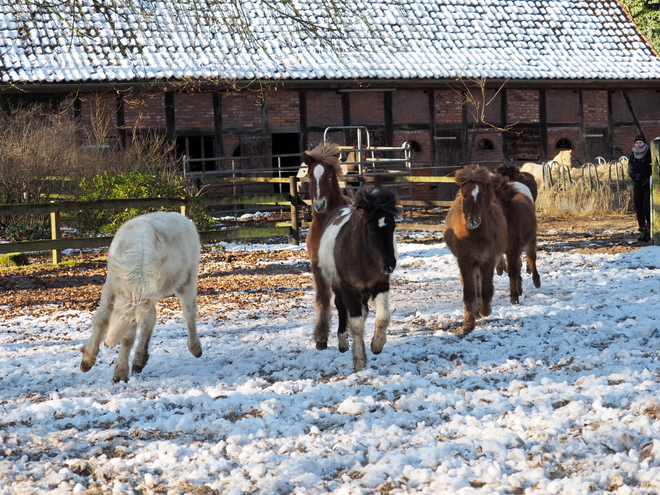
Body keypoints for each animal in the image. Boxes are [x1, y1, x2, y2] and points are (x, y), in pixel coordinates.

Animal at [79, 211, 201, 382]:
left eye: (132, 321)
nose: (108, 344)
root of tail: (180, 216)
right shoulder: (111, 287)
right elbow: (101, 319)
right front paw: (87, 361)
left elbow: (128, 339)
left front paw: (120, 374)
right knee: (151, 320)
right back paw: (139, 361)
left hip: (187, 282)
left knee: (189, 314)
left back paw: (194, 348)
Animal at [314, 187, 400, 372]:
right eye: (371, 229)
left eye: (393, 226)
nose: (390, 265)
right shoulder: (349, 289)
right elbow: (356, 324)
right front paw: (359, 360)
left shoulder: (381, 285)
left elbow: (383, 317)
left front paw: (376, 345)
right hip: (338, 286)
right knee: (341, 307)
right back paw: (343, 342)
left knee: (364, 311)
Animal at [446, 167, 508, 338]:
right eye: (464, 194)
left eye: (483, 195)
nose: (473, 221)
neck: (475, 236)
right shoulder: (464, 260)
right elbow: (469, 290)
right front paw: (468, 323)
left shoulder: (488, 260)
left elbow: (486, 288)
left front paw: (484, 311)